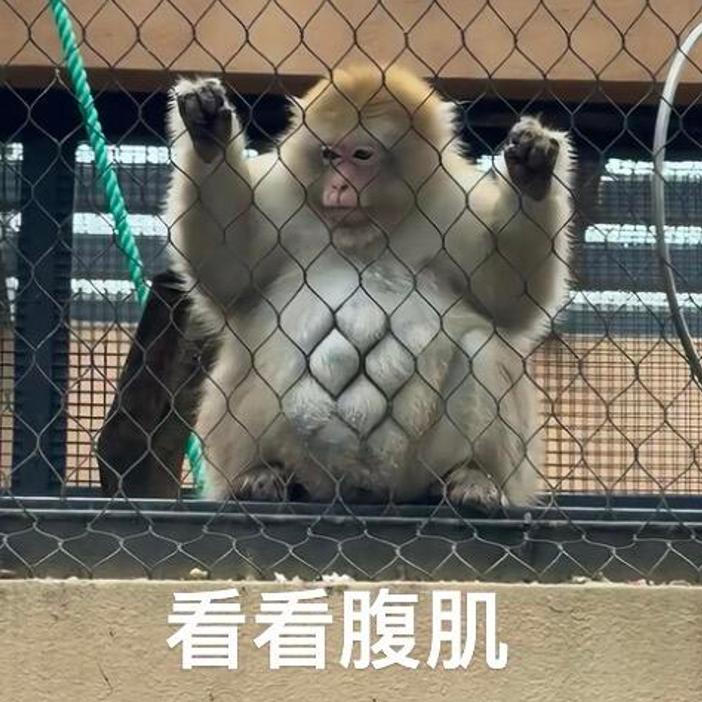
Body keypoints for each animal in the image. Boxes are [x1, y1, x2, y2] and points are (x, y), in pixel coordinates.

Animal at [165, 65, 574, 510]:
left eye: (361, 156)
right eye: (330, 154)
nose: (339, 187)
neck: (371, 230)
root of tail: (356, 485)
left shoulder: (457, 205)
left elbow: (509, 298)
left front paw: (533, 173)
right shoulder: (282, 194)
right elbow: (229, 271)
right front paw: (208, 133)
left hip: (413, 470)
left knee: (481, 346)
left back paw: (470, 476)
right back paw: (259, 473)